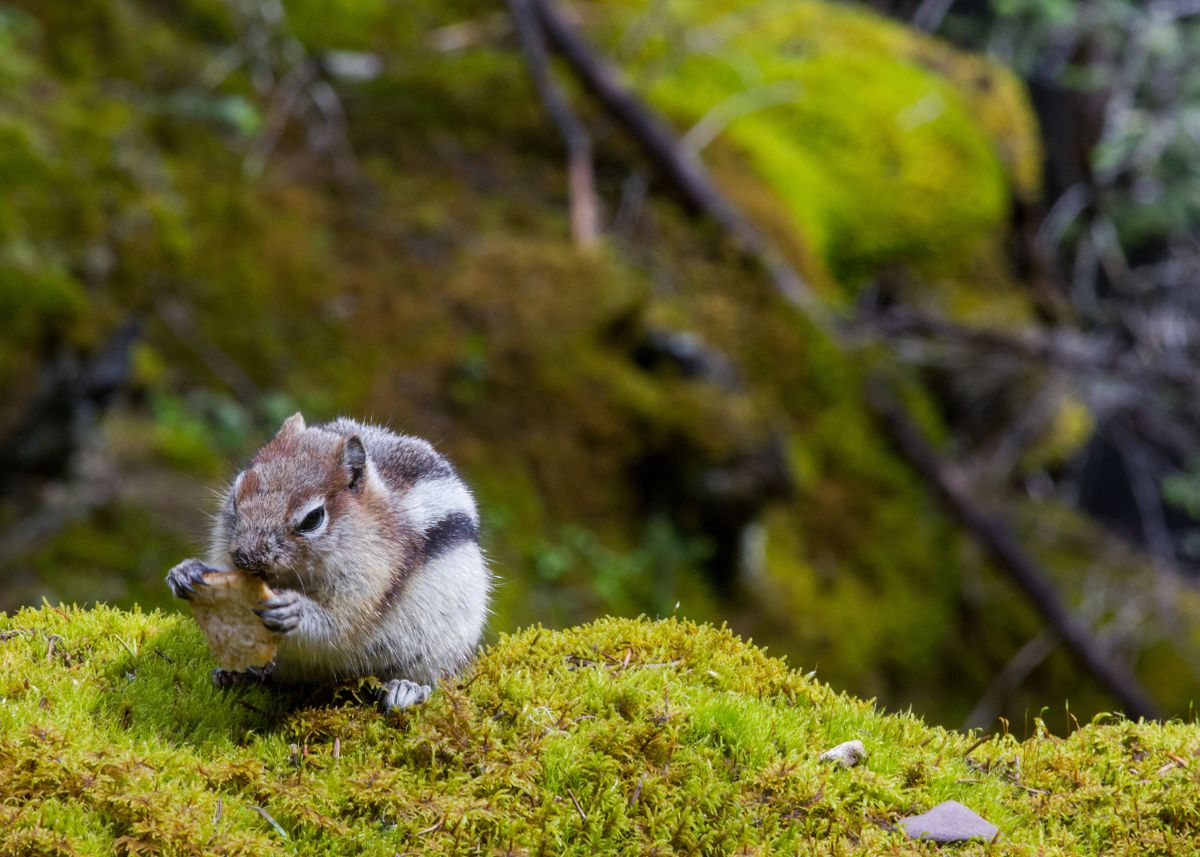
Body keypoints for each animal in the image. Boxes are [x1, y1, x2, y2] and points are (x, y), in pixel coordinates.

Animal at [166, 413, 491, 710]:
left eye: (312, 519)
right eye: (235, 496)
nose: (245, 557)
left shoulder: (370, 581)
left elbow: (338, 624)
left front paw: (293, 610)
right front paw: (187, 571)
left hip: (441, 646)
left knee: (436, 676)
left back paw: (407, 689)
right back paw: (240, 674)